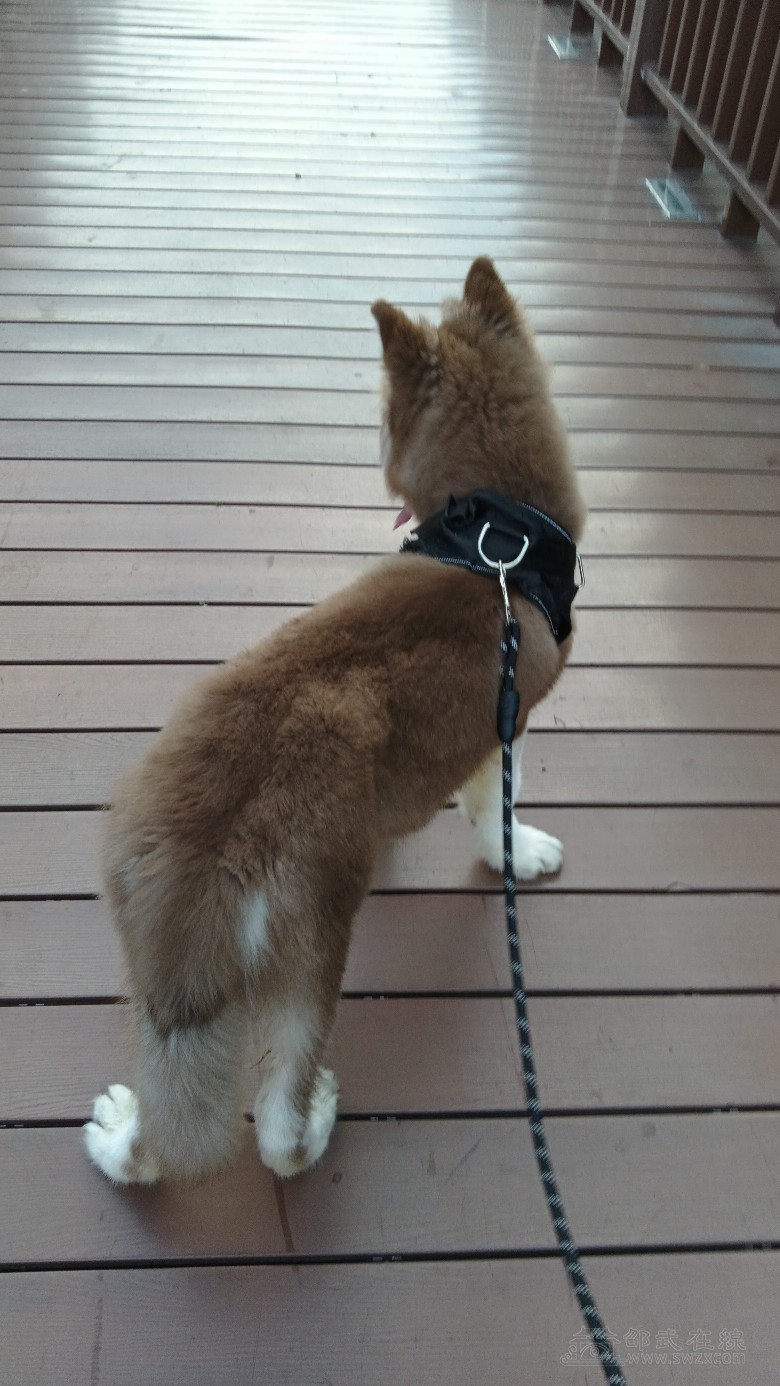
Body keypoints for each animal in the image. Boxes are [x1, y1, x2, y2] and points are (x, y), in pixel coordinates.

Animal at [84, 258, 586, 1186]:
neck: (497, 540)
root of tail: (201, 854)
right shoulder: (506, 728)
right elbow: (495, 811)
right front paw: (517, 851)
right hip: (310, 957)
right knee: (277, 1128)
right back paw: (315, 1121)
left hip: (155, 982)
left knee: (157, 1130)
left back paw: (115, 1137)